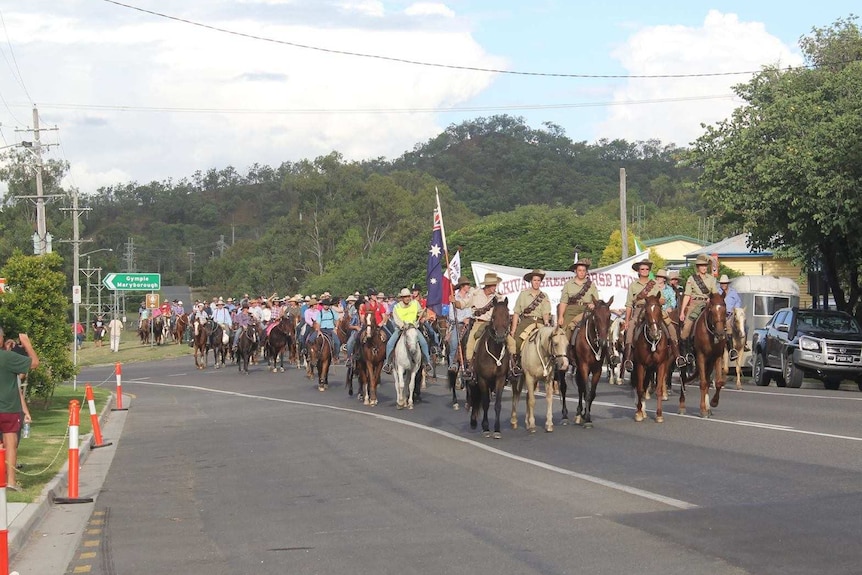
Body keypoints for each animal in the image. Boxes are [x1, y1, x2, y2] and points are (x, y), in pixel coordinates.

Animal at [470, 300, 510, 438]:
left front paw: (497, 430)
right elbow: (485, 403)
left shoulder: (500, 379)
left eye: (507, 316)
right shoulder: (482, 379)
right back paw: (473, 422)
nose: (500, 335)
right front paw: (486, 428)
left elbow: (497, 404)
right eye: (493, 316)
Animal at [568, 296, 616, 428]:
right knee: (579, 388)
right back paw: (577, 413)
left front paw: (586, 415)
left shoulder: (597, 370)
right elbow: (587, 392)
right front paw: (587, 417)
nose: (603, 342)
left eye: (609, 316)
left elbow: (592, 393)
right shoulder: (584, 367)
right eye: (596, 316)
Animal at [628, 296, 676, 424]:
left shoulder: (661, 365)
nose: (655, 333)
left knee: (645, 386)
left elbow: (658, 389)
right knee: (638, 386)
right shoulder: (640, 365)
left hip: (650, 369)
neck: (653, 342)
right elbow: (639, 389)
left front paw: (659, 415)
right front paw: (639, 414)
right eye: (646, 312)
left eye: (659, 310)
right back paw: (640, 410)